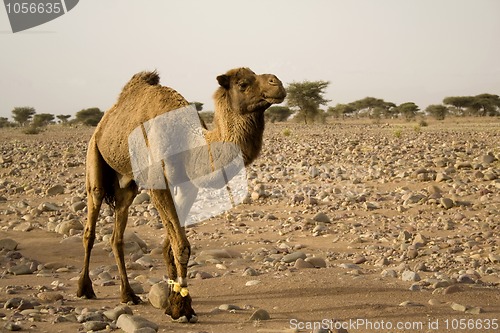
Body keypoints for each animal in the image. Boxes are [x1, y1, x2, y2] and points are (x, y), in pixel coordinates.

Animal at [74, 67, 286, 322]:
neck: (190, 141)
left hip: (127, 183)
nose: (277, 83)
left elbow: (172, 245)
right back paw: (84, 288)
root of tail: (104, 121)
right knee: (90, 226)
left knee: (118, 234)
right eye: (243, 84)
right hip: (94, 156)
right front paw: (181, 307)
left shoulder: (188, 186)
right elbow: (181, 245)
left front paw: (173, 299)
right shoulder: (158, 184)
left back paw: (128, 294)